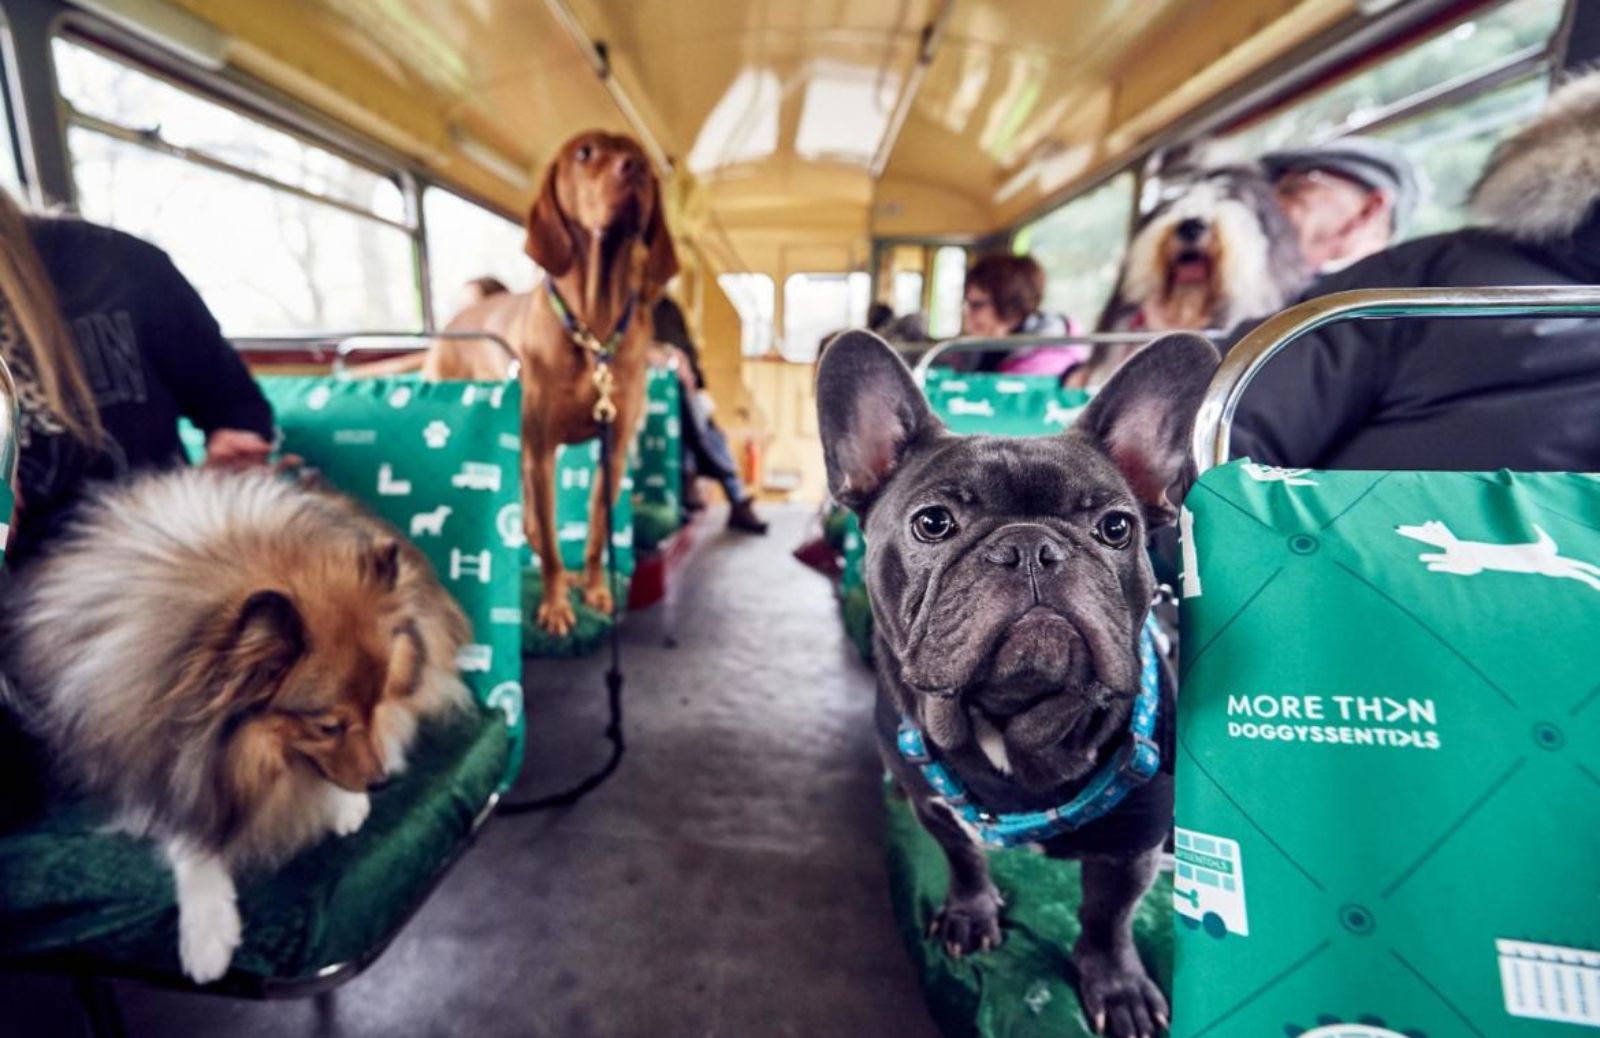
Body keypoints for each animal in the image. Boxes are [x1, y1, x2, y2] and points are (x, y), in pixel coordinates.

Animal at [3, 467, 470, 978]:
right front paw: (208, 933)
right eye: (328, 726)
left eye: (375, 701)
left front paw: (347, 801)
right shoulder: (149, 758)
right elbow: (188, 825)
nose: (382, 782)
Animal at [425, 129, 675, 630]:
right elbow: (554, 543)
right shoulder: (541, 450)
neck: (593, 328)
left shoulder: (612, 447)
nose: (636, 170)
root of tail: (455, 322)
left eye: (638, 155)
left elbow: (597, 534)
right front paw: (557, 605)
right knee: (533, 526)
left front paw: (596, 590)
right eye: (585, 153)